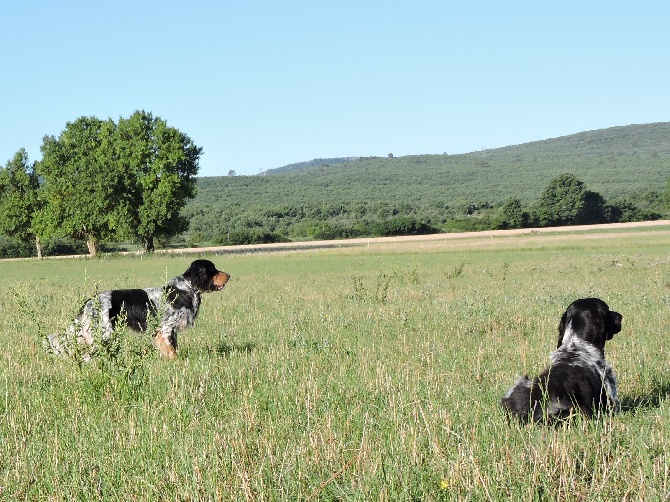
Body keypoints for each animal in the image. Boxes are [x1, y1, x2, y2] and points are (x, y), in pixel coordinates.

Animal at [46, 258, 231, 360]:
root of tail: (89, 301)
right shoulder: (166, 328)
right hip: (104, 331)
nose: (229, 275)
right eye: (213, 270)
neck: (185, 288)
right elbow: (171, 350)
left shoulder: (169, 330)